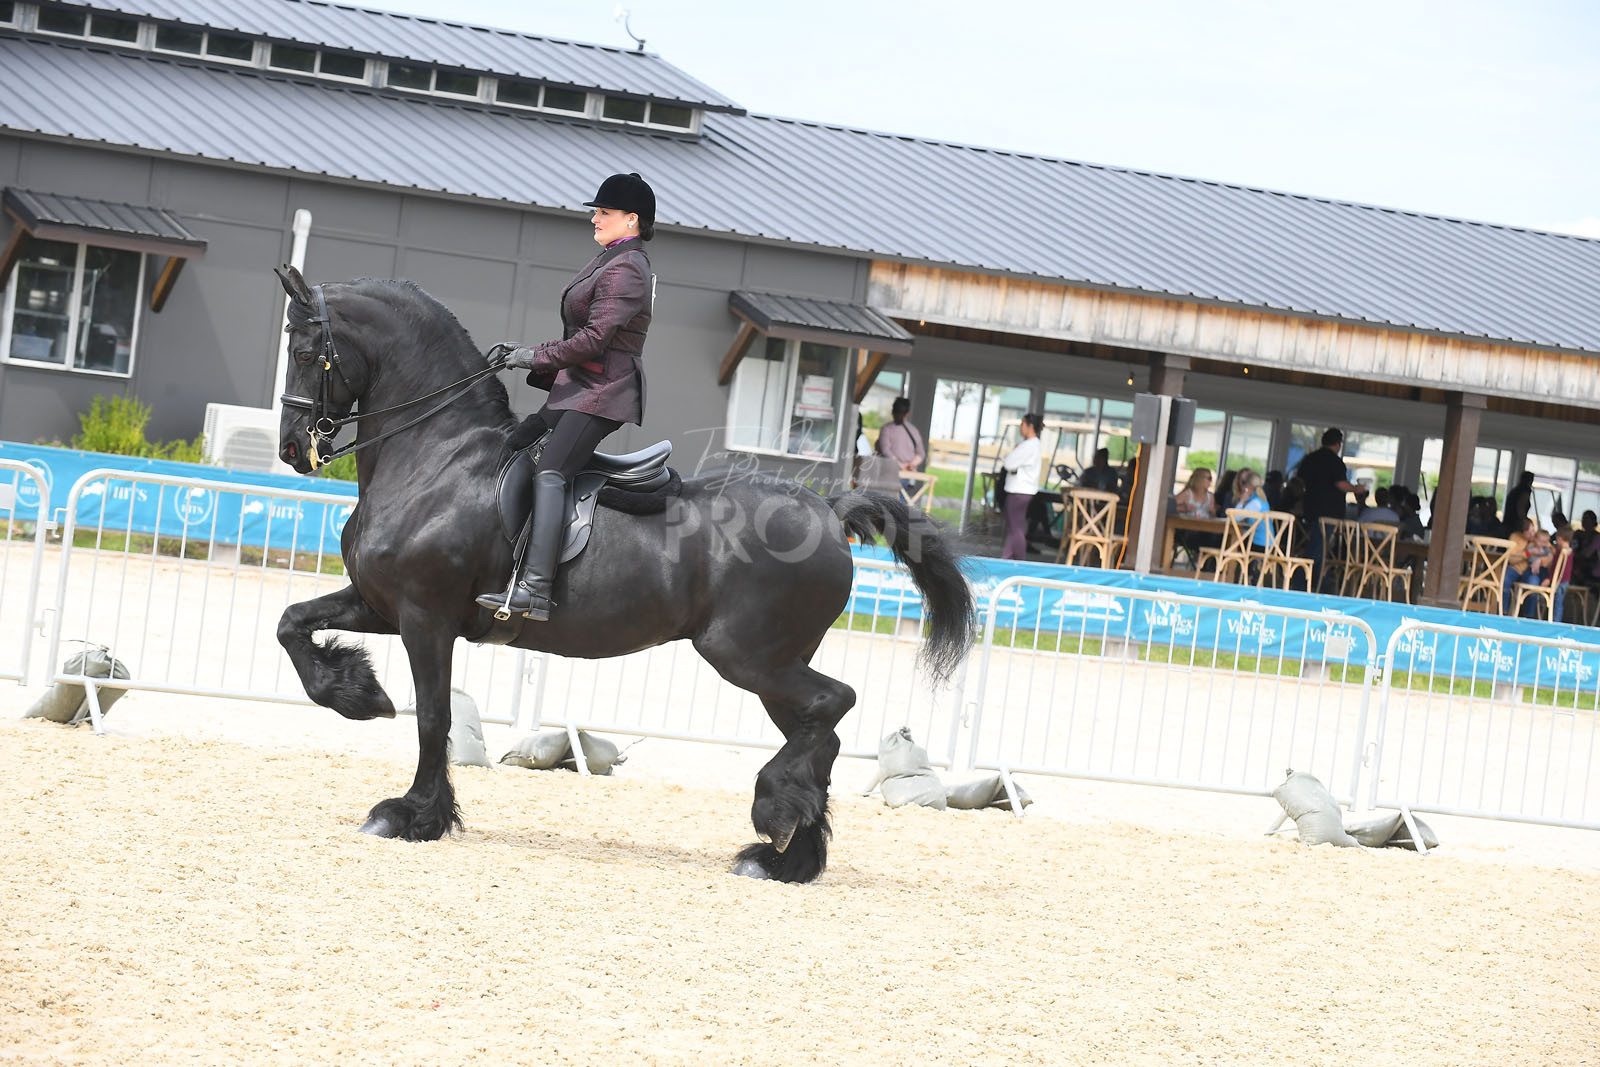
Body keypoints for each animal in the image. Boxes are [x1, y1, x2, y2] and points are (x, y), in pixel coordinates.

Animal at [271, 266, 975, 883]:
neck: (436, 456)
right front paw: (356, 693)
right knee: (820, 733)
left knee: (834, 705)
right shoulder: (380, 604)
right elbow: (291, 625)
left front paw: (412, 815)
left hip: (747, 655)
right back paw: (784, 859)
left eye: (306, 352)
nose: (293, 449)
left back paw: (772, 814)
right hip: (775, 664)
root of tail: (829, 509)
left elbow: (432, 718)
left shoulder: (425, 616)